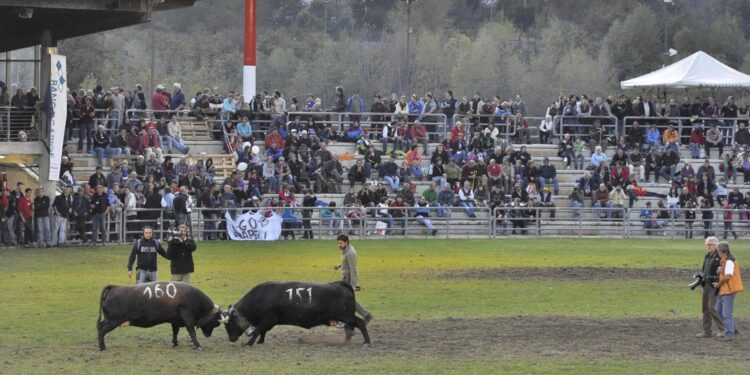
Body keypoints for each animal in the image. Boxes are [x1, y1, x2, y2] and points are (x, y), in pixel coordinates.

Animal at [223, 282, 374, 346]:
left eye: (229, 324)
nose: (231, 339)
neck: (261, 297)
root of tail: (341, 284)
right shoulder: (267, 320)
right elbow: (262, 331)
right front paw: (260, 341)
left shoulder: (268, 319)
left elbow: (259, 329)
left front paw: (249, 343)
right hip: (346, 317)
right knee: (351, 326)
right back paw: (347, 341)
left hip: (346, 315)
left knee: (360, 323)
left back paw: (366, 341)